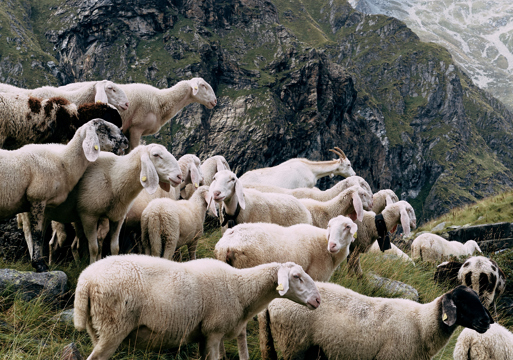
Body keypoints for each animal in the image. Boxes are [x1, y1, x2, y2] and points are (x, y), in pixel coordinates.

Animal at [0, 119, 127, 272]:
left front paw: (39, 262)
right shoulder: (37, 198)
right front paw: (40, 265)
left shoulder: (37, 204)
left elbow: (37, 234)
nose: (126, 141)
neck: (63, 161)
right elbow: (37, 233)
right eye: (103, 129)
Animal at [24, 143, 184, 264]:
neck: (114, 176)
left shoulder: (117, 218)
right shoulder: (88, 215)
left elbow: (115, 248)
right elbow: (94, 248)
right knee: (31, 236)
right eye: (156, 155)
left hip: (47, 214)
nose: (179, 176)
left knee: (45, 239)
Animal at [73, 255, 320, 360]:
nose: (318, 300)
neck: (240, 288)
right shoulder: (213, 331)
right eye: (296, 277)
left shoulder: (206, 335)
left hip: (98, 328)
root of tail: (85, 280)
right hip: (113, 327)